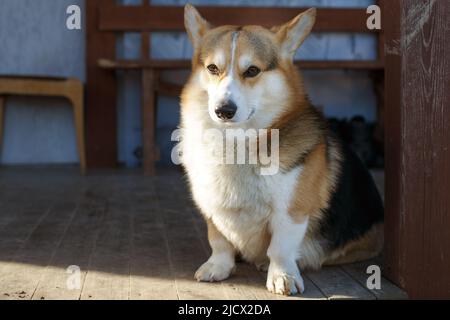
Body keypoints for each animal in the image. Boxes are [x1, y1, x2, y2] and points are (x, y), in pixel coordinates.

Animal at [178, 3, 384, 296]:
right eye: (212, 68)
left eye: (252, 71)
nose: (223, 110)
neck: (236, 142)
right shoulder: (212, 207)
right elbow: (219, 240)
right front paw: (218, 267)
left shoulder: (291, 211)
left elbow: (281, 247)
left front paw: (281, 276)